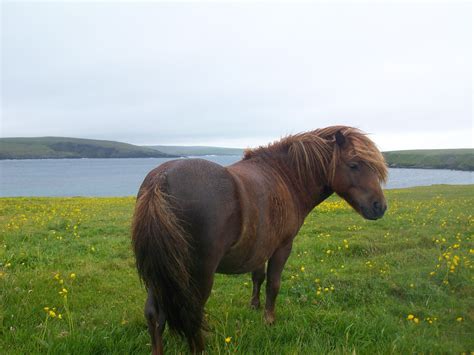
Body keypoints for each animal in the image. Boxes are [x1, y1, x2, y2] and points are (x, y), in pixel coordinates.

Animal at [131, 126, 386, 354]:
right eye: (354, 165)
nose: (380, 207)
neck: (285, 177)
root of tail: (162, 179)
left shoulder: (260, 247)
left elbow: (258, 277)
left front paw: (254, 307)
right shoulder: (282, 247)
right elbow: (273, 284)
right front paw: (269, 320)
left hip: (160, 275)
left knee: (154, 315)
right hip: (197, 275)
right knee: (191, 316)